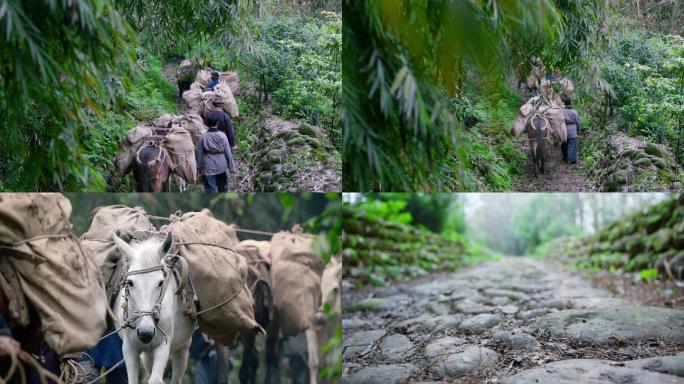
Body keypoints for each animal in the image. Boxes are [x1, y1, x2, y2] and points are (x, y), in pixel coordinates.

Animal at [113, 231, 196, 384]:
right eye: (130, 282)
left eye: (160, 283)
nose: (145, 332)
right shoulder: (129, 348)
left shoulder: (163, 344)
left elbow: (156, 379)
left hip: (183, 347)